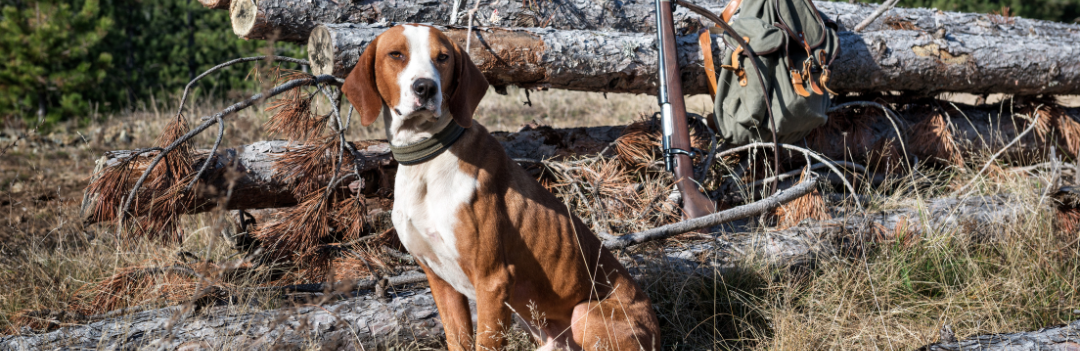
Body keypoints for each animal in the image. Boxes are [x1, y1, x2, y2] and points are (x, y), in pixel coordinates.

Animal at [339, 23, 656, 347]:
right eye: (396, 54)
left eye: (443, 57)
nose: (426, 88)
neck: (428, 158)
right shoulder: (439, 280)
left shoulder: (493, 280)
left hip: (585, 314)